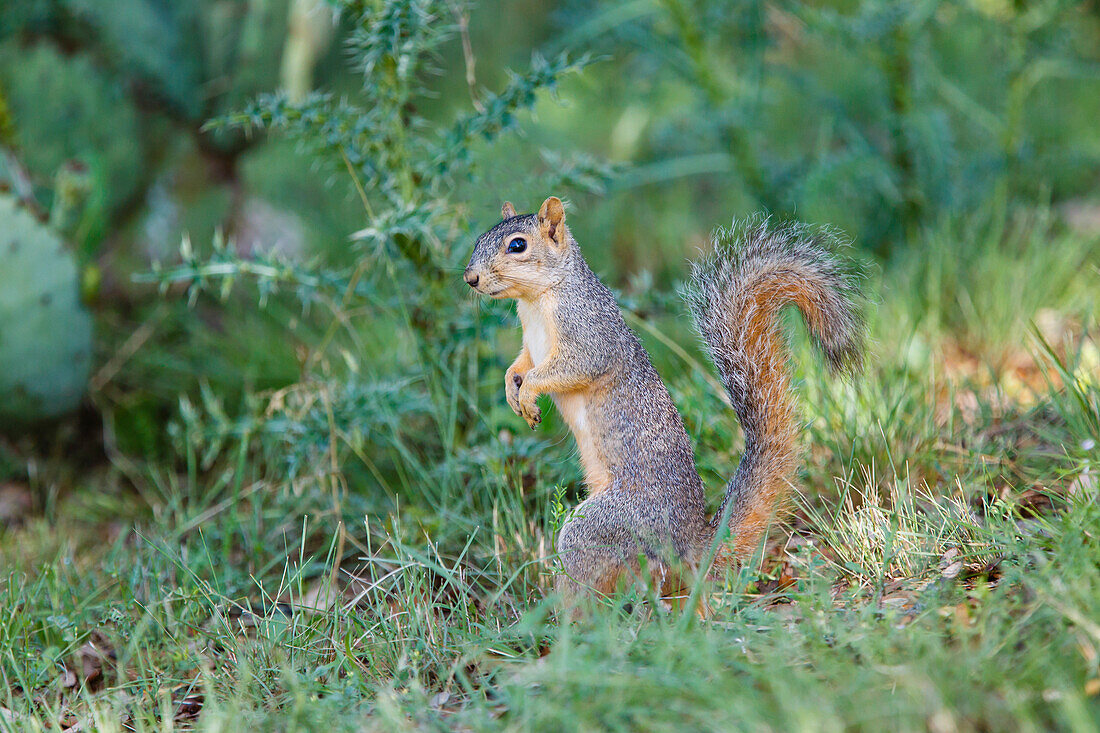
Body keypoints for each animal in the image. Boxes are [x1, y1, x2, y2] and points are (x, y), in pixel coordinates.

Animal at [459, 195, 862, 611]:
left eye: (517, 245)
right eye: (480, 238)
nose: (470, 278)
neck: (535, 301)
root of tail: (689, 546)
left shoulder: (587, 331)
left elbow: (573, 367)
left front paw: (529, 393)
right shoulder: (529, 346)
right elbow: (519, 365)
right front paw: (514, 391)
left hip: (607, 527)